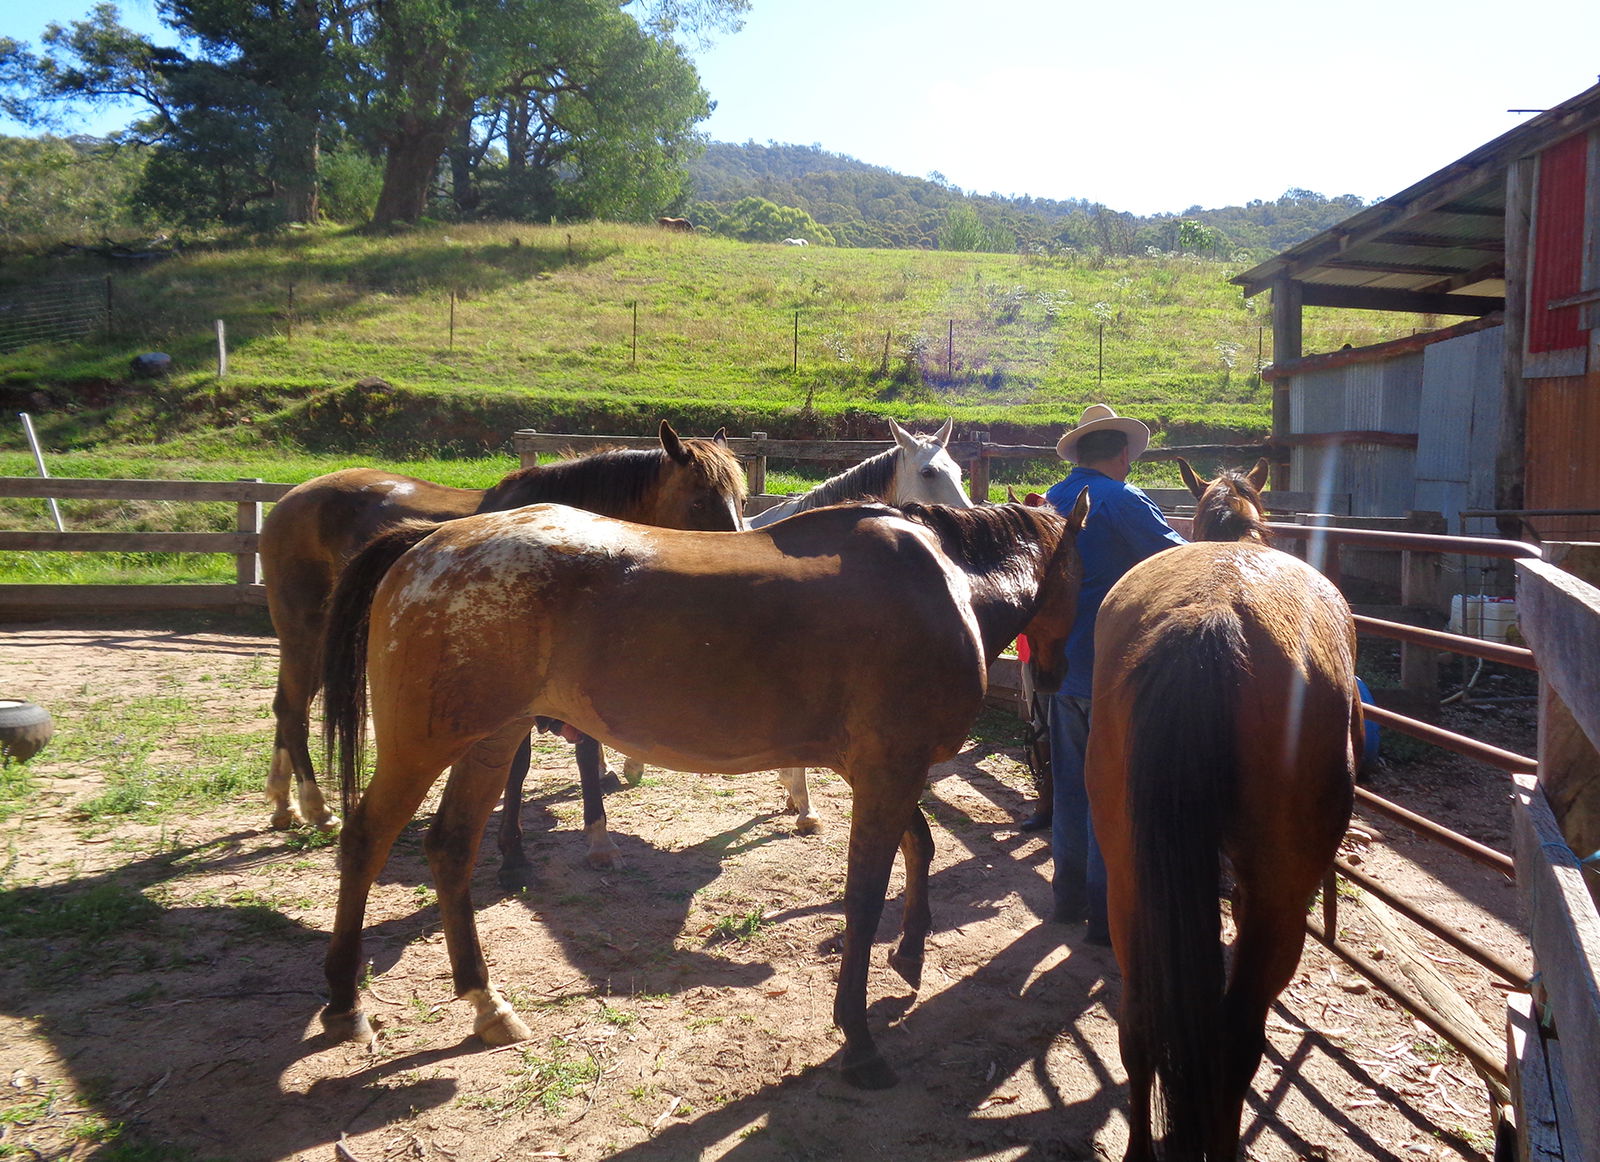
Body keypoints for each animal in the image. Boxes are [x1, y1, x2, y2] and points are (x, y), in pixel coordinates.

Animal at [257, 421, 746, 886]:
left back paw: (282, 803)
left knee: (284, 706)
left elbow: (586, 751)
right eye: (699, 502)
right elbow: (520, 765)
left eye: (741, 498)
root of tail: (289, 499)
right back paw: (316, 807)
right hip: (308, 634)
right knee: (294, 710)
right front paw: (513, 855)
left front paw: (598, 839)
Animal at [318, 494, 1091, 1089]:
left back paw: (484, 1002)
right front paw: (859, 1037)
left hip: (492, 739)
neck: (945, 582)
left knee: (451, 849)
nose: (1055, 676)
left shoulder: (882, 771)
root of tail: (428, 544)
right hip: (424, 747)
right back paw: (345, 1003)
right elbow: (867, 895)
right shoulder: (889, 770)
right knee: (364, 841)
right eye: (1084, 573)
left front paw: (909, 954)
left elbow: (920, 848)